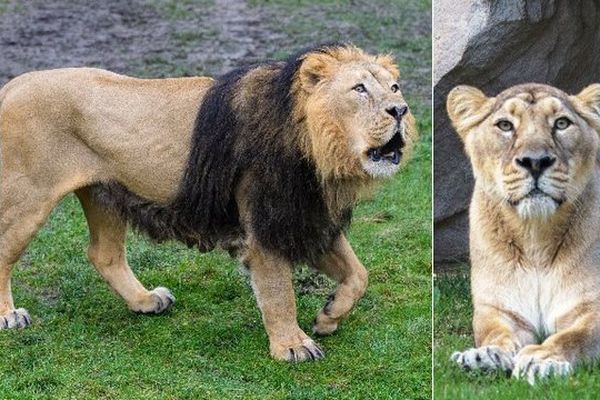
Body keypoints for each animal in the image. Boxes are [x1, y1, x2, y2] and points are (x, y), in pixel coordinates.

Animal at [0, 44, 418, 362]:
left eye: (395, 87)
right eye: (359, 89)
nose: (400, 110)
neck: (318, 153)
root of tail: (14, 83)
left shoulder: (305, 218)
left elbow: (359, 275)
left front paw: (329, 316)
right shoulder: (265, 225)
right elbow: (279, 291)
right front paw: (293, 346)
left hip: (103, 191)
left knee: (104, 254)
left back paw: (146, 301)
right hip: (28, 196)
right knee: (6, 249)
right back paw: (9, 316)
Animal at [446, 83, 600, 382]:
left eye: (561, 123)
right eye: (505, 125)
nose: (535, 161)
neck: (535, 237)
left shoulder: (590, 305)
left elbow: (576, 336)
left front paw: (542, 359)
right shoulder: (499, 309)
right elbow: (495, 333)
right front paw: (484, 356)